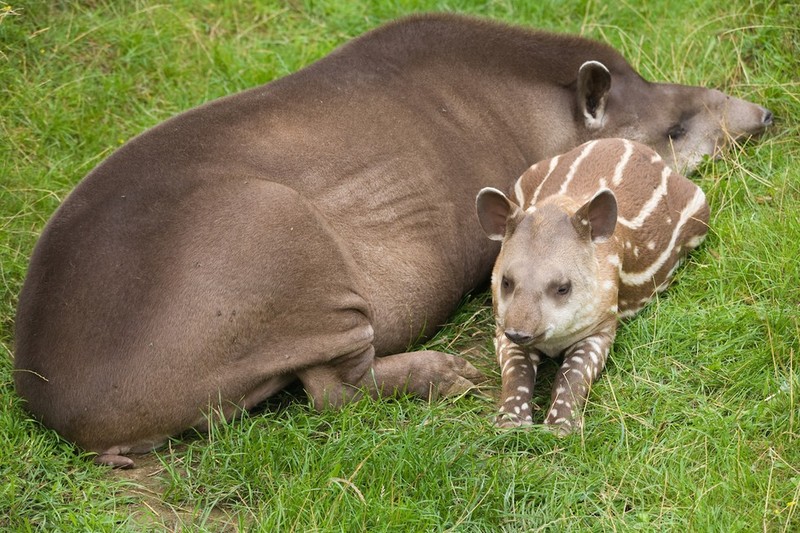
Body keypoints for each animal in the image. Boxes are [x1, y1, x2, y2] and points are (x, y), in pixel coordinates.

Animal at [476, 137, 708, 432]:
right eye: (506, 281)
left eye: (563, 287)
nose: (519, 332)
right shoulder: (503, 323)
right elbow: (516, 372)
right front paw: (510, 422)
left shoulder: (601, 327)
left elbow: (573, 374)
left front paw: (560, 427)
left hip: (699, 210)